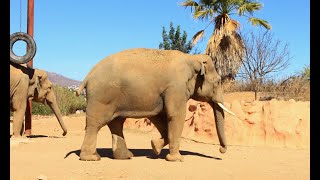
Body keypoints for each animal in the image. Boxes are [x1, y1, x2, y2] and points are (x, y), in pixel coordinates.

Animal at [75, 47, 235, 162]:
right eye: (218, 81)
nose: (221, 151)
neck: (191, 58)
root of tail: (88, 76)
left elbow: (159, 116)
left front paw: (154, 147)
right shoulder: (175, 87)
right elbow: (175, 115)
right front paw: (177, 159)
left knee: (116, 124)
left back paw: (126, 156)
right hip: (102, 97)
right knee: (95, 124)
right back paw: (92, 158)